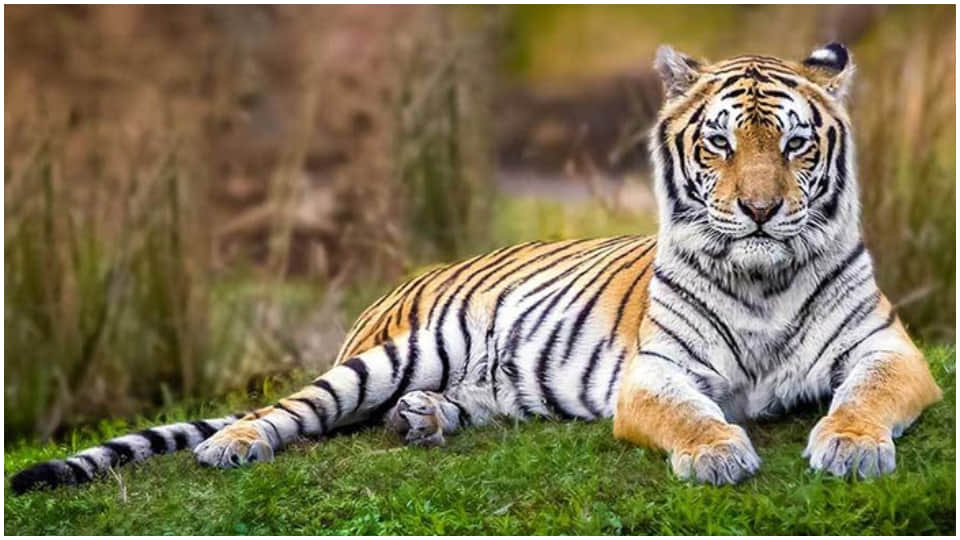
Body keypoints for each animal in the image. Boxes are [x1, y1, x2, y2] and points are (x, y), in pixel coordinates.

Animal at [12, 42, 942, 494]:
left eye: (793, 145)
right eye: (719, 145)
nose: (757, 210)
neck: (763, 278)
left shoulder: (889, 349)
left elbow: (866, 397)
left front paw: (850, 448)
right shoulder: (658, 373)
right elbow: (688, 415)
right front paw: (717, 453)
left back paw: (423, 420)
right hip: (393, 354)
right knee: (295, 409)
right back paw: (234, 445)